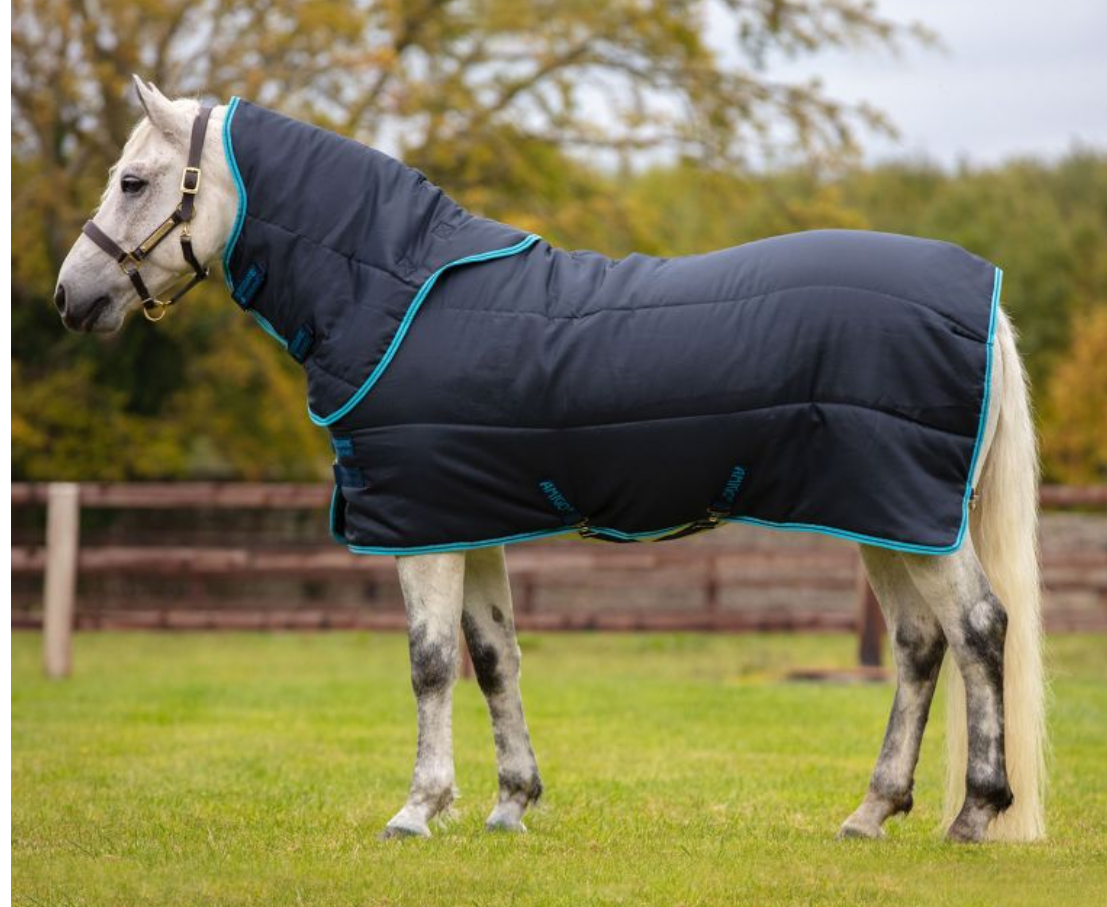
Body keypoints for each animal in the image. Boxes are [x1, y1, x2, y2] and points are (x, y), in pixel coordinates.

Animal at [53, 78, 1046, 843]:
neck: (394, 292)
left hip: (908, 516)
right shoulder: (467, 519)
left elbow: (429, 663)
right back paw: (870, 813)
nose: (71, 296)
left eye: (134, 180)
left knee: (976, 628)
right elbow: (495, 657)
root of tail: (986, 297)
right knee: (919, 644)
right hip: (884, 516)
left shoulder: (421, 529)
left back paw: (974, 813)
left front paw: (417, 809)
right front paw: (509, 804)